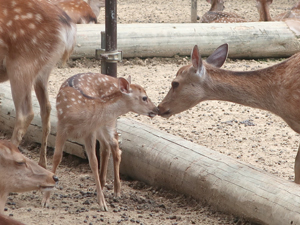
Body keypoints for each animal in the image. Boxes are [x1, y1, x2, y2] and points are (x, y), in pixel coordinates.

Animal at [0, 0, 76, 168]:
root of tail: (67, 29)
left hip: (22, 65)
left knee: (25, 114)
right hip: (43, 70)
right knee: (46, 108)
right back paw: (43, 164)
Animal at [42, 72, 159, 211]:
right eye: (144, 97)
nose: (156, 109)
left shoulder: (90, 132)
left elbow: (93, 162)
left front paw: (102, 203)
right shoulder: (62, 125)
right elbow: (57, 157)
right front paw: (46, 199)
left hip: (108, 123)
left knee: (115, 145)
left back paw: (116, 190)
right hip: (102, 125)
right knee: (107, 146)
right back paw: (103, 186)